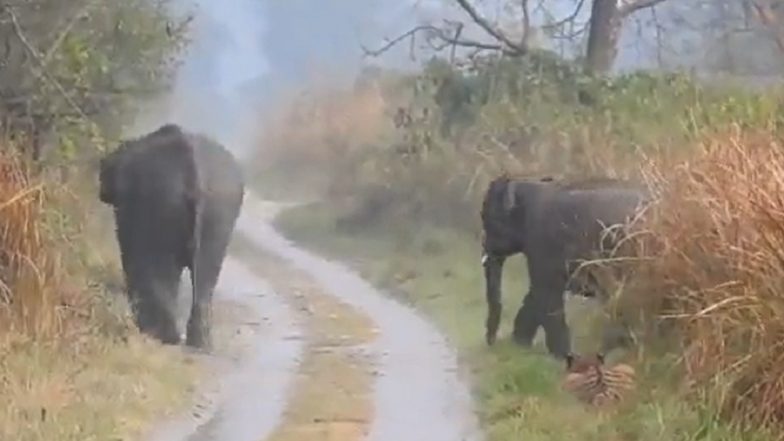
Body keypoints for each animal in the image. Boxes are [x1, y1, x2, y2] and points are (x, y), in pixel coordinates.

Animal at [99, 123, 245, 348]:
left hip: (163, 205)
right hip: (220, 212)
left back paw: (161, 335)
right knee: (206, 276)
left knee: (159, 268)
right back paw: (199, 343)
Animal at [480, 175, 652, 358]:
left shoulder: (541, 239)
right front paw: (520, 345)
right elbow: (536, 294)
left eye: (487, 219)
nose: (491, 343)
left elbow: (545, 292)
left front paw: (562, 356)